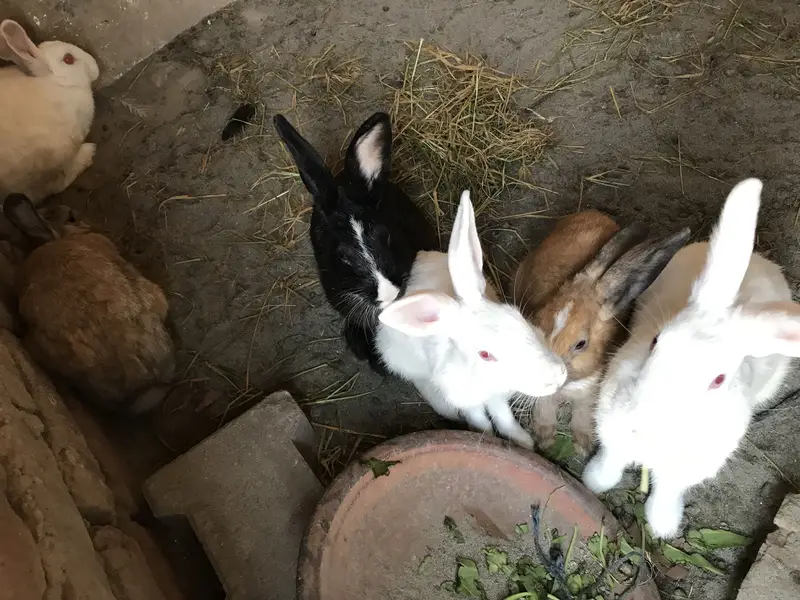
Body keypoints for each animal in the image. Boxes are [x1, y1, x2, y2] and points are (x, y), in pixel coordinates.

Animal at [377, 191, 568, 449]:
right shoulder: (467, 400)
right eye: (485, 355)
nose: (557, 377)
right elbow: (480, 419)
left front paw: (521, 441)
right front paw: (485, 437)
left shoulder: (497, 396)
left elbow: (503, 416)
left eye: (517, 316)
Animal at [514, 211, 690, 454]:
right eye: (537, 321)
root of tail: (594, 213)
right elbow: (545, 405)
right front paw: (546, 439)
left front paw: (583, 444)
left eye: (581, 344)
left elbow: (582, 411)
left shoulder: (591, 388)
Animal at [582, 178, 800, 539]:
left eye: (718, 380)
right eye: (656, 341)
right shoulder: (611, 427)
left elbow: (667, 491)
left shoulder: (688, 467)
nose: (637, 424)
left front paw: (663, 526)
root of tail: (761, 262)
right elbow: (611, 462)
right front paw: (594, 482)